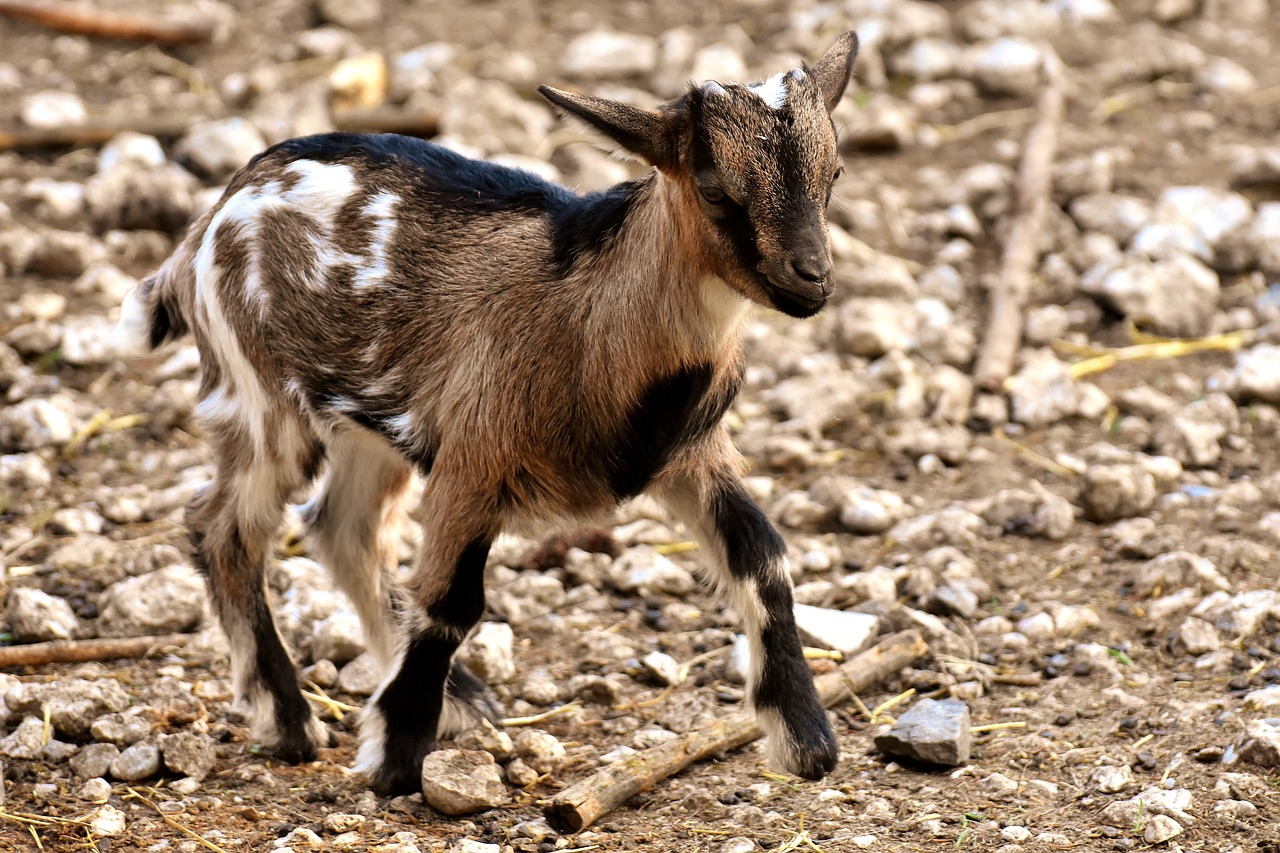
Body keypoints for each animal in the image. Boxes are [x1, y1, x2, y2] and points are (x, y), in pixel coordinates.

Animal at [120, 31, 860, 788]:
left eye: (833, 174)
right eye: (713, 186)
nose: (813, 278)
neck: (591, 320)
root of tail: (211, 219)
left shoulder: (690, 455)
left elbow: (763, 556)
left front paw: (807, 740)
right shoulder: (475, 461)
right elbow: (450, 602)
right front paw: (395, 762)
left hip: (373, 423)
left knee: (342, 527)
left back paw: (456, 700)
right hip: (264, 398)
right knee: (224, 528)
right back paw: (290, 718)